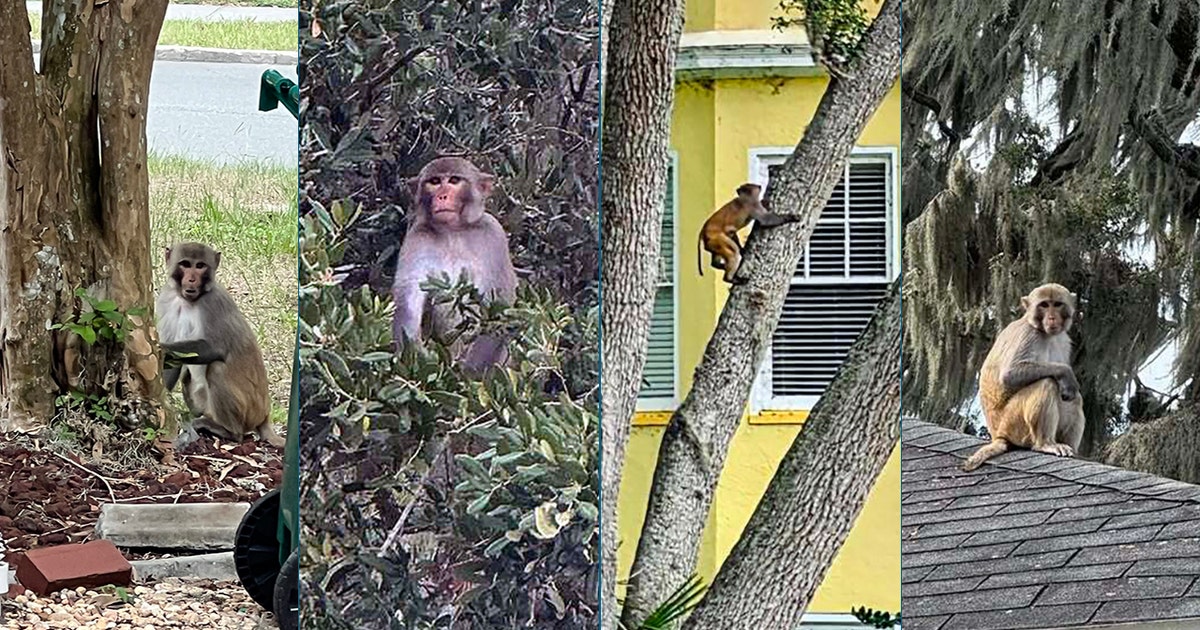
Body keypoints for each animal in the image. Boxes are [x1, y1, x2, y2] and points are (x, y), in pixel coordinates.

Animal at [156, 242, 284, 448]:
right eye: (185, 264)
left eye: (200, 266)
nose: (191, 279)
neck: (188, 301)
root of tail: (265, 415)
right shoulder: (166, 300)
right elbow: (172, 364)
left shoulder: (214, 303)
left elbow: (215, 348)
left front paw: (161, 347)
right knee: (188, 376)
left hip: (250, 411)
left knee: (216, 369)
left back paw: (230, 432)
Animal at [392, 156, 518, 373]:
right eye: (434, 182)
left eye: (454, 180)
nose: (442, 196)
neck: (453, 231)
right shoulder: (417, 238)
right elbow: (407, 302)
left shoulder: (494, 235)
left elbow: (497, 307)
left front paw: (470, 374)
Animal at [961, 283, 1085, 472]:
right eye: (1044, 305)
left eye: (1057, 304)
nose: (1051, 318)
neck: (1044, 332)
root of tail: (998, 435)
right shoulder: (1029, 335)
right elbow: (1010, 374)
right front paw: (1066, 373)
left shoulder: (1064, 341)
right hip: (1012, 424)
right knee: (1046, 383)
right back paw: (1046, 444)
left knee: (1074, 398)